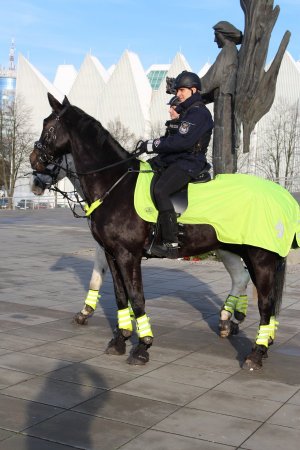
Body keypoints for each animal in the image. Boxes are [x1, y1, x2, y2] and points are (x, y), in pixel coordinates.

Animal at [30, 155, 251, 334]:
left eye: (50, 158)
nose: (35, 183)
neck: (112, 188)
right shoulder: (109, 246)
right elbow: (99, 278)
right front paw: (92, 312)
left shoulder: (118, 248)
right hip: (225, 248)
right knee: (241, 277)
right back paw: (231, 318)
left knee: (243, 277)